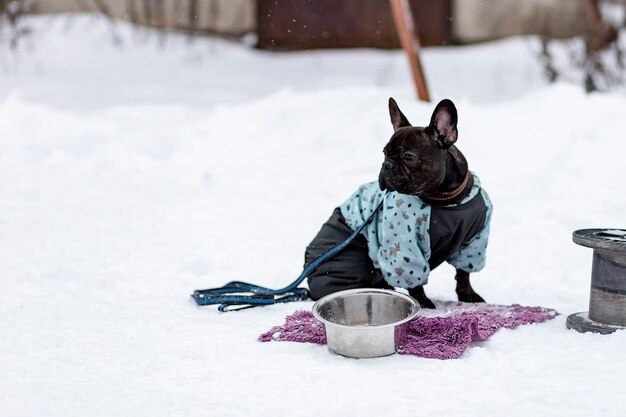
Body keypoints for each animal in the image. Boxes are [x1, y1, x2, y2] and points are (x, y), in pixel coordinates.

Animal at [304, 96, 492, 306]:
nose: (386, 164)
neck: (446, 199)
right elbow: (413, 278)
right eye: (384, 153)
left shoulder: (473, 243)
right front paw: (422, 302)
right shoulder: (406, 247)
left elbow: (464, 273)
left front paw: (468, 295)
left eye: (409, 156)